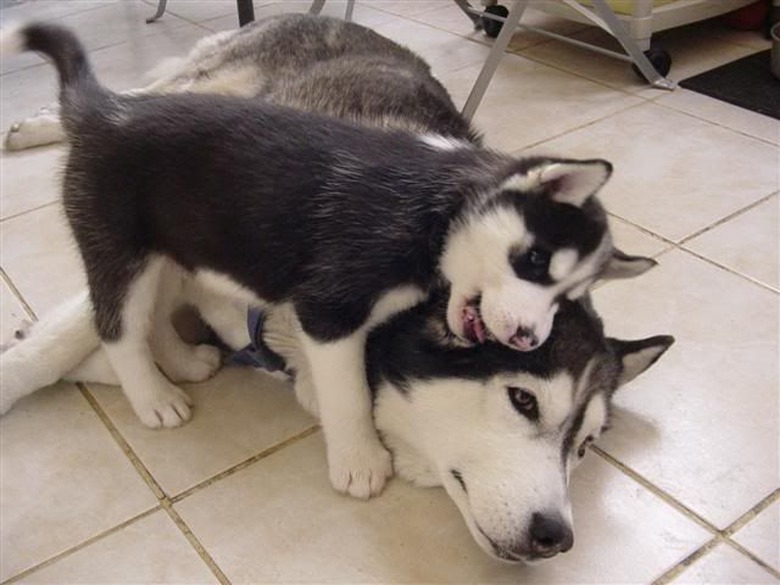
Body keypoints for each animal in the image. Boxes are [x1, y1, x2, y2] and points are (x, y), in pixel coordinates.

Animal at [1, 20, 652, 500]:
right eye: (534, 261)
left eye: (584, 445)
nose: (524, 338)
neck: (434, 204)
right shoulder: (332, 299)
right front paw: (358, 457)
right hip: (137, 199)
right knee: (120, 318)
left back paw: (182, 365)